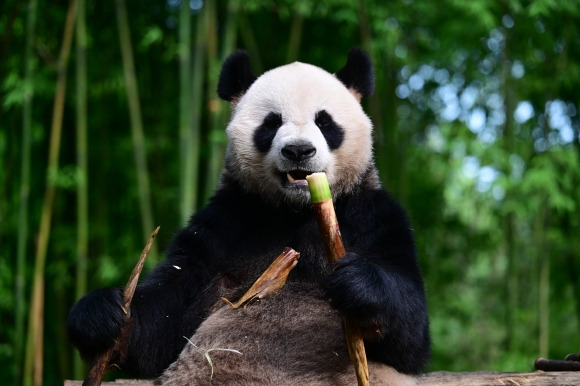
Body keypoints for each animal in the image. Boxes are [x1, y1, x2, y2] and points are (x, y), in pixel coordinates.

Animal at [68, 49, 430, 384]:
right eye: (271, 123)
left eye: (325, 122)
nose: (299, 150)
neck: (294, 211)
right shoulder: (226, 222)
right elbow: (163, 320)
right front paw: (100, 315)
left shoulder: (372, 216)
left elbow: (411, 334)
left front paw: (355, 283)